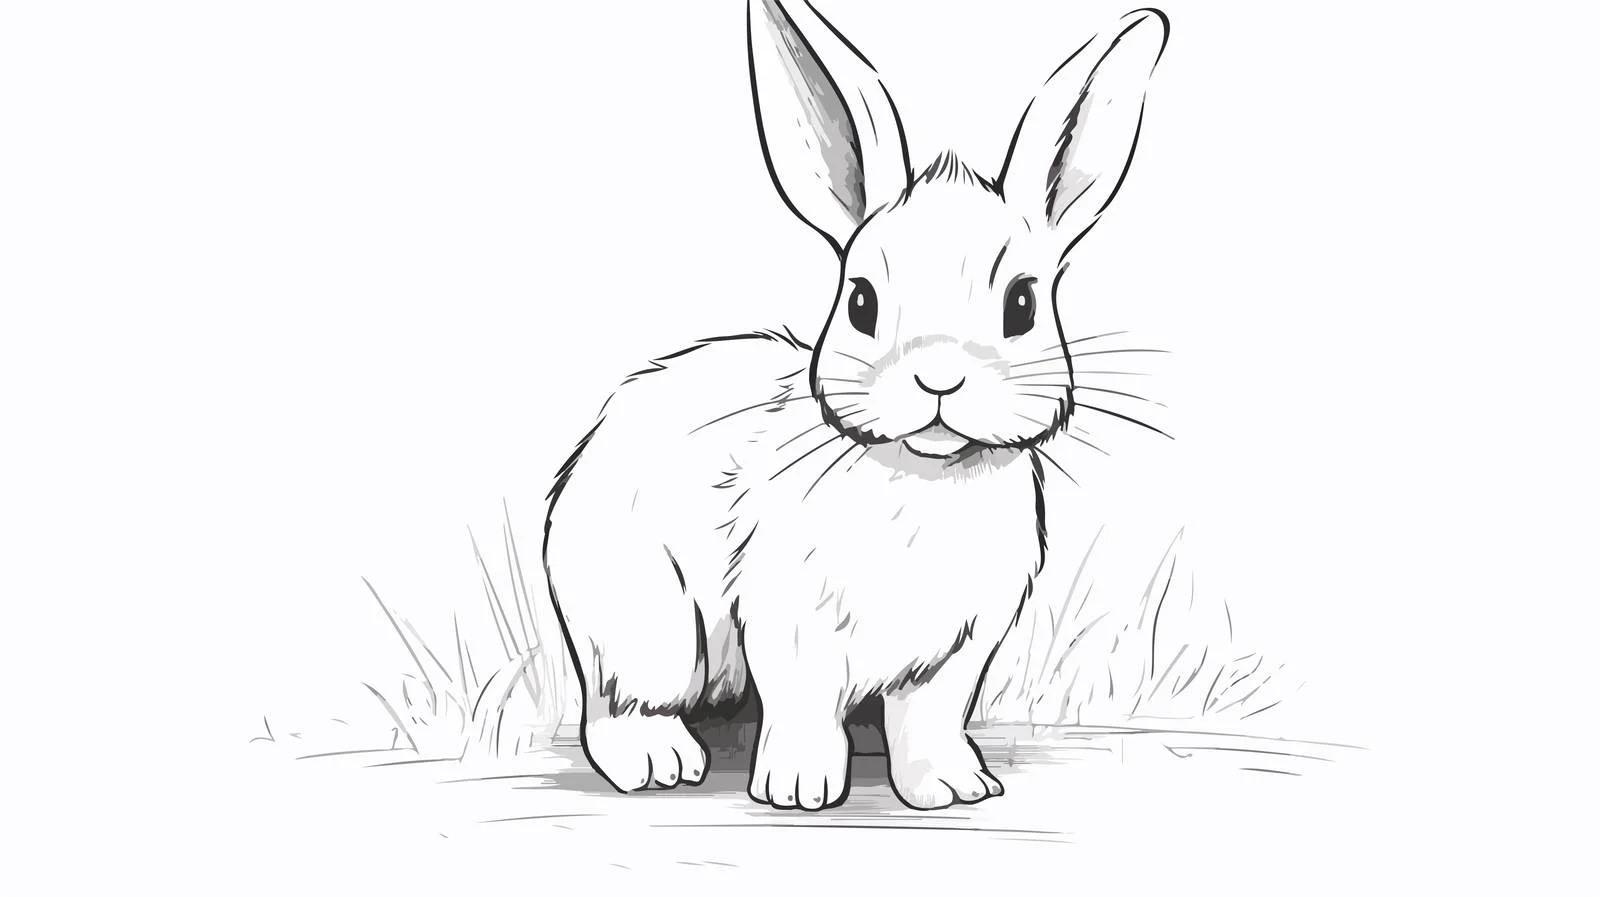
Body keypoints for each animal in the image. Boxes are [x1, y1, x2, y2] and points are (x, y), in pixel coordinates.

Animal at [542, 1, 1169, 810]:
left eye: (1023, 304)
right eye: (862, 301)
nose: (938, 378)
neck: (926, 477)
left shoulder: (957, 649)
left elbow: (930, 719)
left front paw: (953, 787)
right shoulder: (790, 621)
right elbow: (803, 704)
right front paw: (800, 789)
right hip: (647, 624)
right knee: (619, 701)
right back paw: (659, 761)